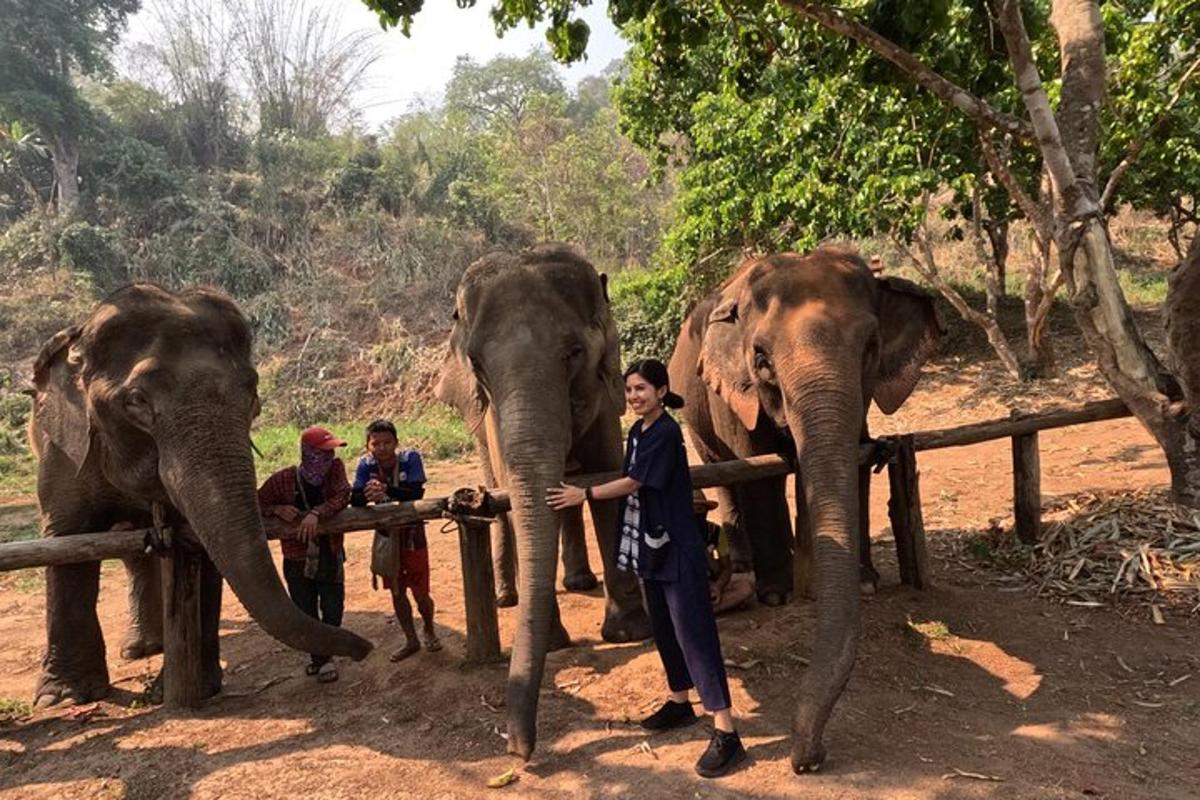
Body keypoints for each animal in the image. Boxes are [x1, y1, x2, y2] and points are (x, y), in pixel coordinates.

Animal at [25, 286, 372, 705]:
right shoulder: (63, 451)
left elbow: (202, 545)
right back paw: (139, 650)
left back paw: (147, 647)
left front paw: (195, 688)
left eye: (253, 396)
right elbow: (67, 543)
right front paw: (63, 697)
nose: (365, 649)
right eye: (136, 401)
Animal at [436, 244, 652, 758]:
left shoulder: (605, 390)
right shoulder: (490, 414)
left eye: (574, 353)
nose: (517, 750)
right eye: (477, 364)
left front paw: (630, 632)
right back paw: (506, 595)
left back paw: (578, 581)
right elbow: (514, 493)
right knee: (496, 490)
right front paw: (555, 643)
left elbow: (608, 473)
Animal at [672, 247, 940, 772]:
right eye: (760, 357)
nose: (807, 759)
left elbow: (857, 455)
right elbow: (759, 470)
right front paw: (777, 595)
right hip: (695, 416)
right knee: (725, 473)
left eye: (871, 346)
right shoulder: (731, 393)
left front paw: (865, 582)